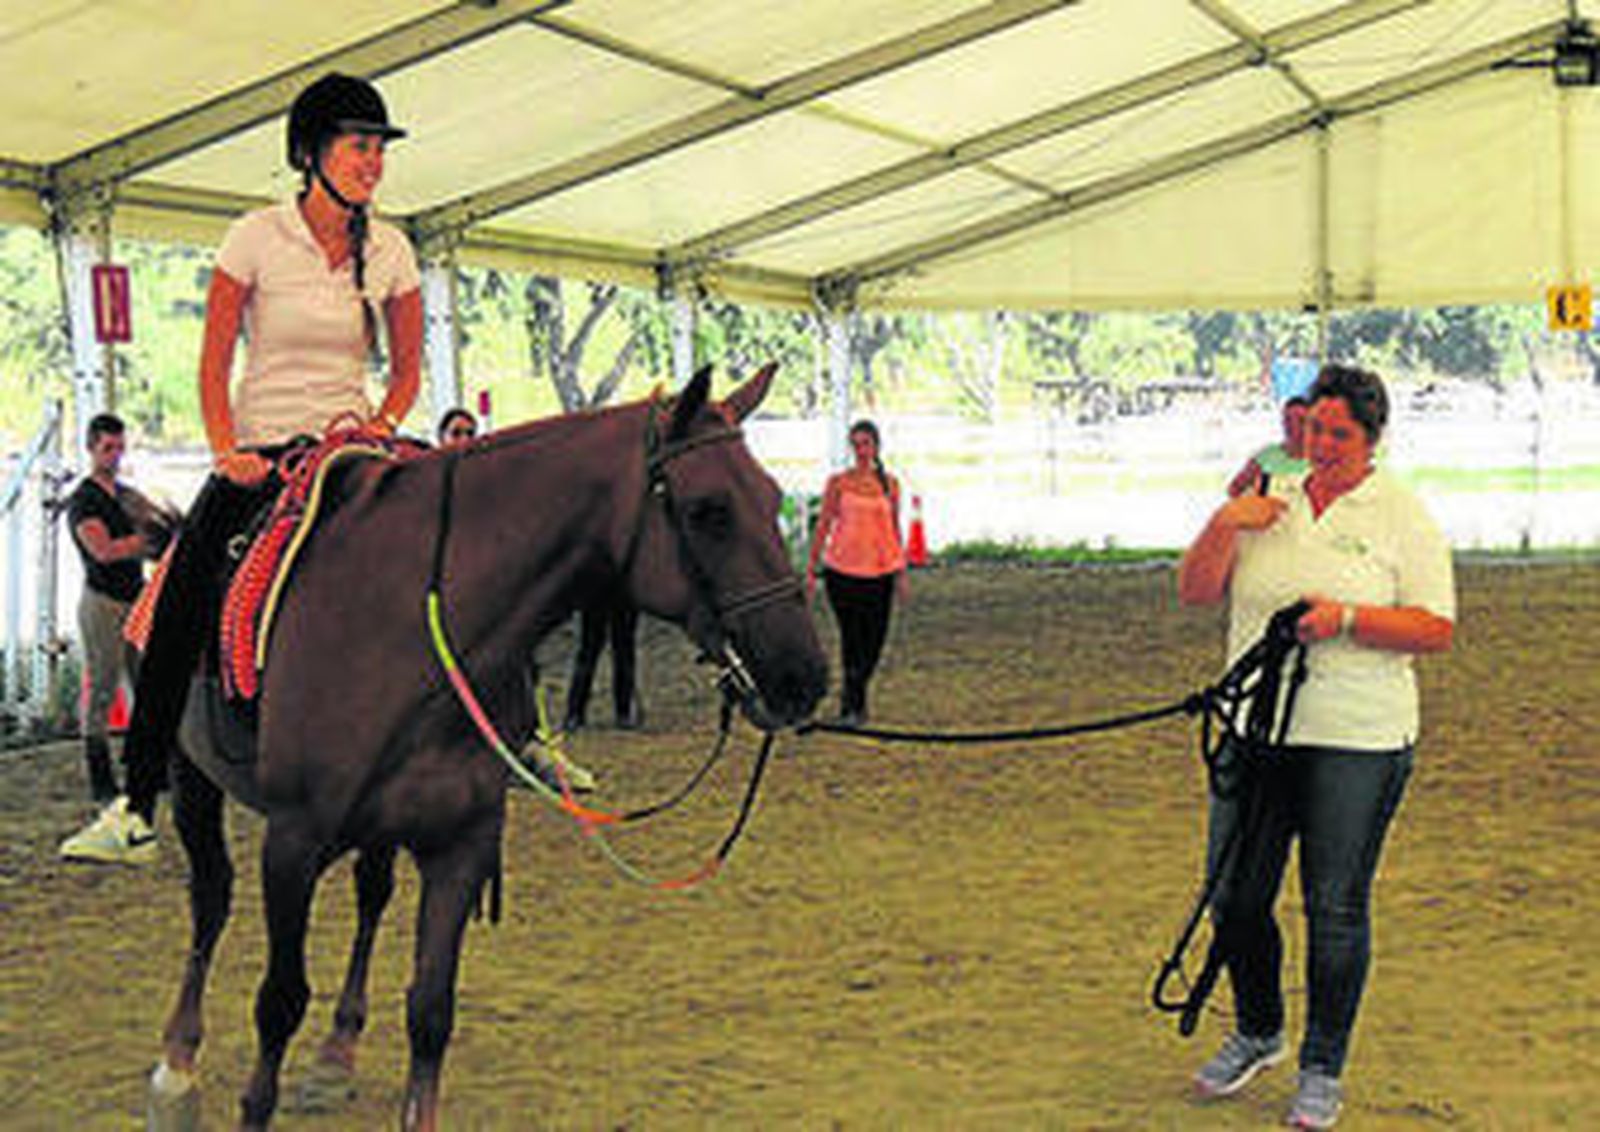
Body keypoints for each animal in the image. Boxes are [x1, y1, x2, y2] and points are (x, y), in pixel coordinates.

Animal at [149, 362, 828, 1131]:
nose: (803, 675)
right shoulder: (292, 843)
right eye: (711, 510)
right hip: (192, 779)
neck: (406, 623)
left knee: (371, 897)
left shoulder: (461, 843)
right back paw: (177, 1065)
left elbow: (429, 1011)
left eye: (773, 498)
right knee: (211, 896)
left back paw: (337, 1050)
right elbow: (279, 1001)